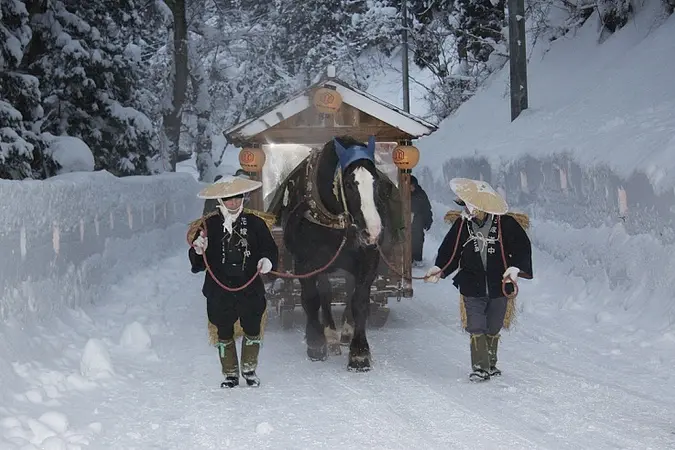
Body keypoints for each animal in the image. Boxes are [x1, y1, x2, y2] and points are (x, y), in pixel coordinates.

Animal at [280, 135, 396, 370]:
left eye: (377, 183)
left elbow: (360, 301)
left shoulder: (368, 259)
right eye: (350, 184)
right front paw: (316, 343)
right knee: (324, 294)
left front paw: (359, 352)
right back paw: (330, 335)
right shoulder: (304, 263)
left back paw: (345, 331)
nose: (373, 231)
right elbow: (312, 298)